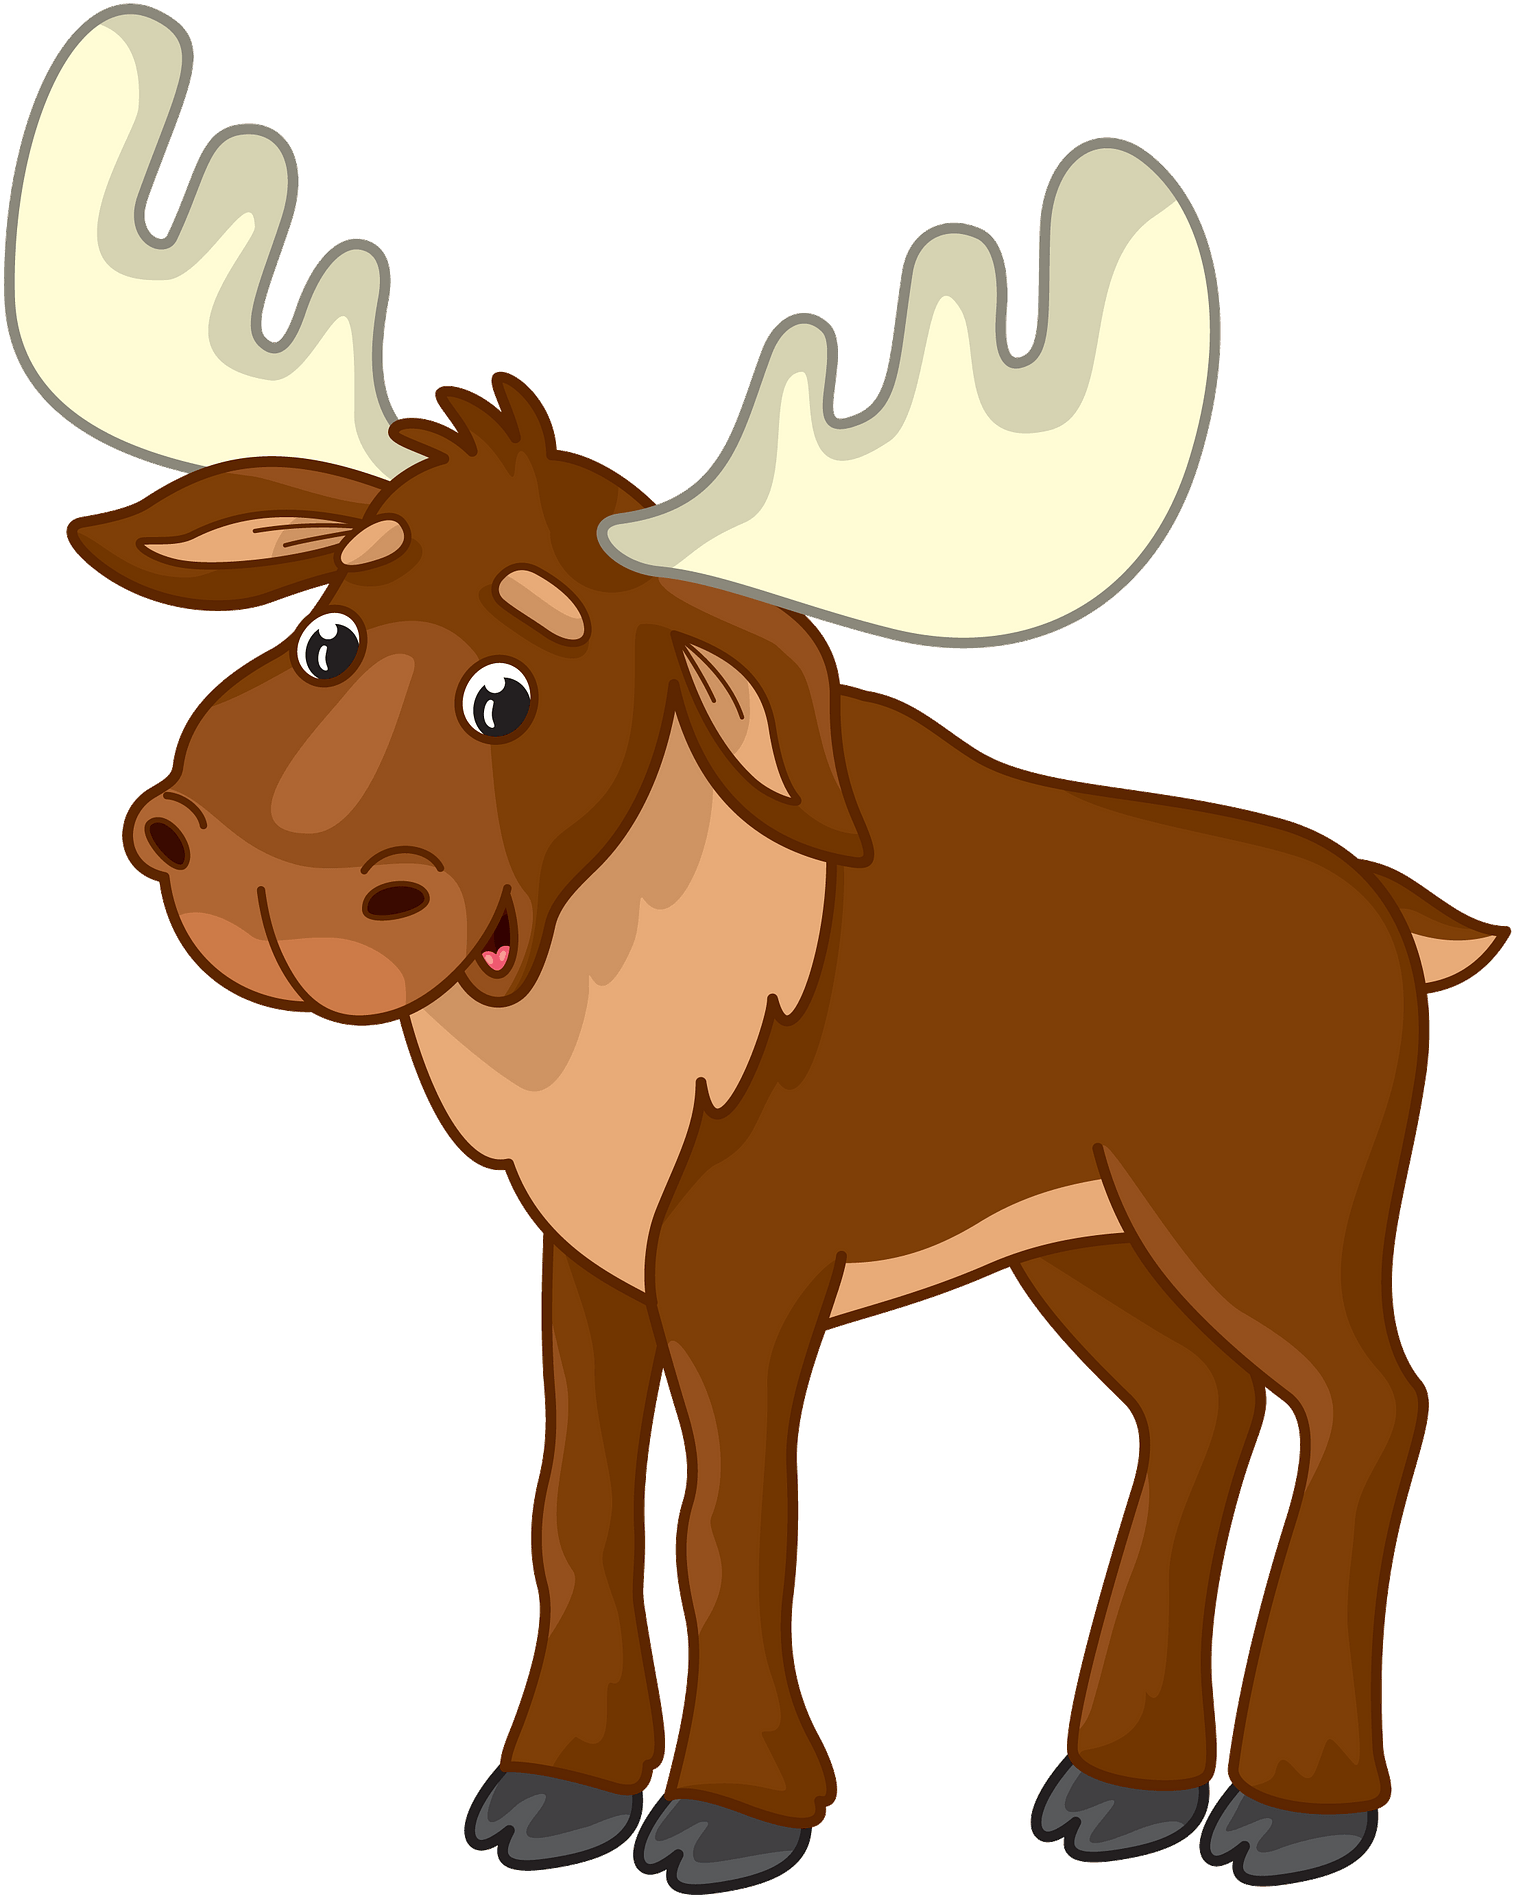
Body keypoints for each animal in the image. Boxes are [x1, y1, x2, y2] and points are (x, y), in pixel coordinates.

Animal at [10, 12, 1505, 1893]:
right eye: (329, 630)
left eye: (513, 689)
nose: (276, 873)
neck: (597, 1040)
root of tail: (1399, 912)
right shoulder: (583, 1254)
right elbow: (571, 1506)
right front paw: (560, 1779)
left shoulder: (754, 1255)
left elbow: (734, 1519)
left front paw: (730, 1806)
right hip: (1085, 1240)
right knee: (1200, 1408)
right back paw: (1125, 1778)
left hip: (1261, 1206)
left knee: (1369, 1403)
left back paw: (1300, 1799)